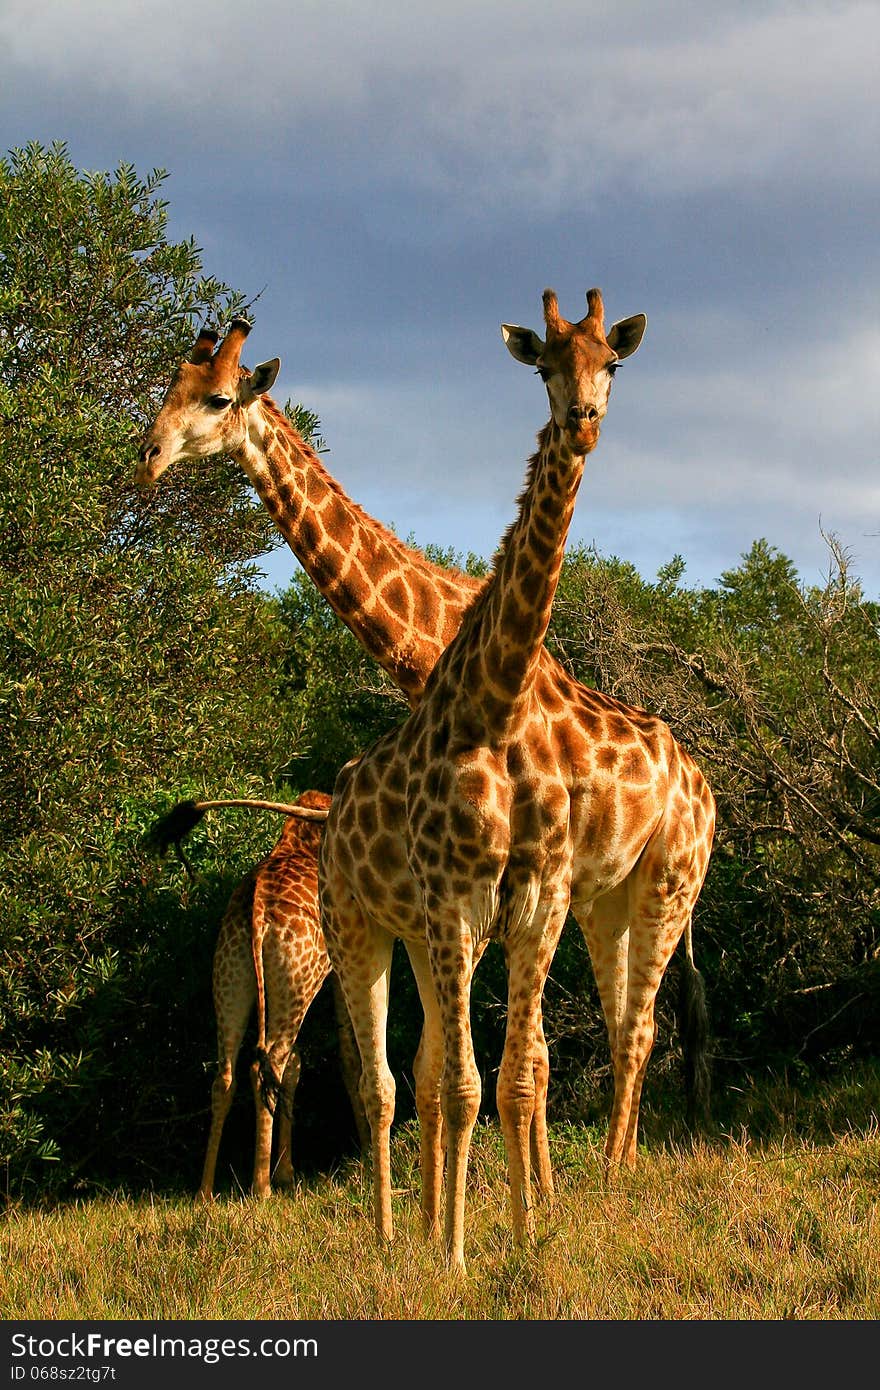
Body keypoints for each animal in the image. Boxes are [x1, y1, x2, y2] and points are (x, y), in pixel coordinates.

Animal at [150, 789, 367, 1200]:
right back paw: (260, 1187)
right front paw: (362, 1151)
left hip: (233, 977)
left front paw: (288, 1171)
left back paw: (205, 1191)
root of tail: (255, 913)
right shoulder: (340, 969)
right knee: (270, 1062)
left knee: (228, 1074)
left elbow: (300, 1066)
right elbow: (348, 1056)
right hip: (293, 982)